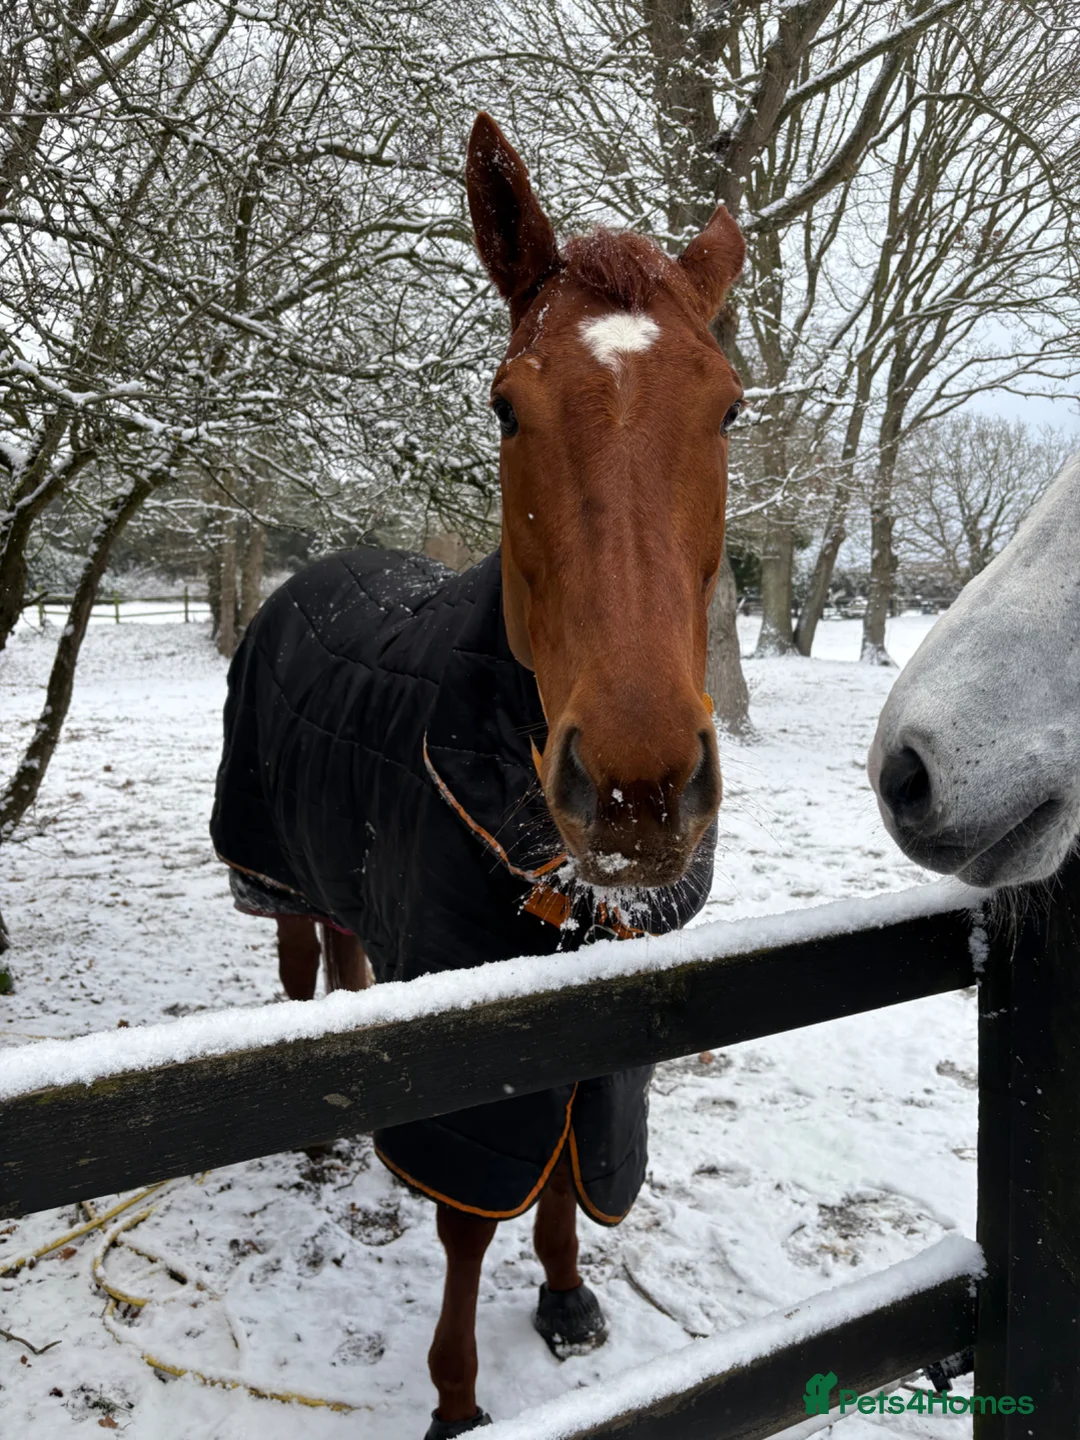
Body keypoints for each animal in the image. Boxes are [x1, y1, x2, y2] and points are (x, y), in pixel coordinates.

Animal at [211, 112, 745, 1437]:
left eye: (726, 409)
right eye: (507, 408)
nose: (637, 790)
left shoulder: (596, 1026)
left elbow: (566, 1171)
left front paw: (565, 1295)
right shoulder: (468, 1038)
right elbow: (465, 1227)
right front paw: (456, 1399)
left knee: (349, 965)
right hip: (272, 871)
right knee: (300, 977)